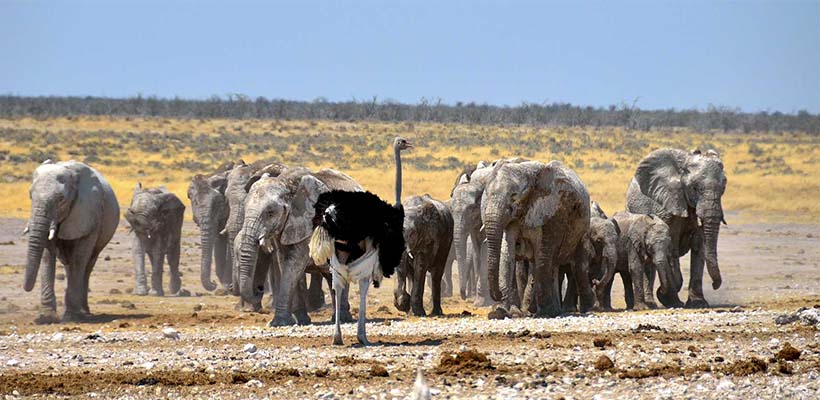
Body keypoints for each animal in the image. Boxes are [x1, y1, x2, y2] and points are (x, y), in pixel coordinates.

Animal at [22, 159, 119, 322]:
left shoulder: (90, 213)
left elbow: (80, 257)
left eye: (61, 200)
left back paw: (84, 312)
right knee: (68, 264)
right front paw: (46, 317)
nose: (27, 288)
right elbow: (47, 255)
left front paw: (71, 317)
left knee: (86, 264)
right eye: (30, 196)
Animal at [188, 162, 235, 290]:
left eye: (218, 203)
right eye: (195, 203)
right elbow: (219, 240)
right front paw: (224, 285)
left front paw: (227, 285)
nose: (213, 283)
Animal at [232, 167, 358, 326]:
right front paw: (300, 321)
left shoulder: (310, 223)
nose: (259, 289)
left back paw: (343, 319)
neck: (286, 183)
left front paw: (278, 323)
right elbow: (285, 263)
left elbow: (294, 265)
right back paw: (337, 318)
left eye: (270, 213)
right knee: (330, 276)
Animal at [480, 160, 588, 318]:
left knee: (564, 264)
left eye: (514, 196)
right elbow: (507, 254)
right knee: (551, 266)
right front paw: (503, 312)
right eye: (487, 194)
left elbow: (542, 256)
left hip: (581, 232)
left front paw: (545, 313)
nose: (498, 295)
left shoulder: (552, 212)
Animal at [624, 148, 728, 308]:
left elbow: (700, 246)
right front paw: (667, 297)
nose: (715, 285)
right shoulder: (668, 203)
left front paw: (698, 303)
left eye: (723, 187)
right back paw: (652, 303)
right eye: (695, 187)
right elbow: (671, 246)